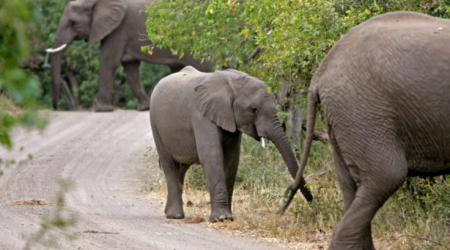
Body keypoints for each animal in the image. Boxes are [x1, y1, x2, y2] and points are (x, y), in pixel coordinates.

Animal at [46, 0, 210, 111]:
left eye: (73, 23)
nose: (55, 107)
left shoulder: (119, 29)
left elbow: (108, 62)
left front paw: (102, 110)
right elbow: (130, 68)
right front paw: (144, 108)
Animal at [149, 66, 312, 221]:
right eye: (254, 110)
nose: (312, 200)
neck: (231, 82)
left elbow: (232, 159)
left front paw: (228, 216)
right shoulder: (201, 115)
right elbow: (212, 156)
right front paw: (221, 218)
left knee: (182, 167)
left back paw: (169, 212)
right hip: (155, 123)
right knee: (169, 164)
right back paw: (175, 215)